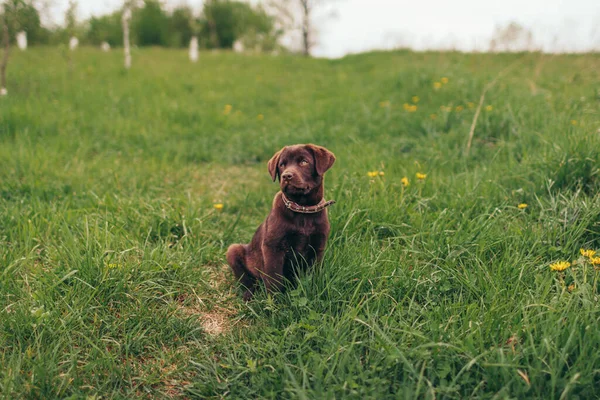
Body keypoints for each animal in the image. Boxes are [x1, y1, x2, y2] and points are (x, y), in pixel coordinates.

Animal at [226, 144, 336, 300]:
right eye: (282, 165)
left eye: (304, 162)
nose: (286, 176)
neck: (302, 210)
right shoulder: (273, 247)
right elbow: (274, 277)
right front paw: (275, 302)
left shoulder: (317, 247)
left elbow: (313, 274)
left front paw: (314, 291)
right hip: (233, 250)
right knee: (246, 279)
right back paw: (249, 294)